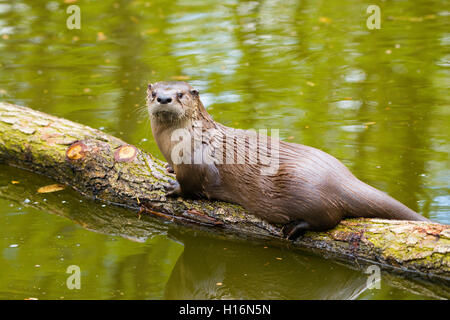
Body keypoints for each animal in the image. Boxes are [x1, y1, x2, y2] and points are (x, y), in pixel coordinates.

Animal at [147, 81, 428, 239]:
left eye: (181, 94)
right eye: (154, 93)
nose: (164, 98)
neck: (176, 142)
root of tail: (342, 179)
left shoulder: (196, 164)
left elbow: (192, 186)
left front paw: (173, 188)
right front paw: (169, 168)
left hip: (309, 195)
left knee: (327, 220)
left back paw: (293, 228)